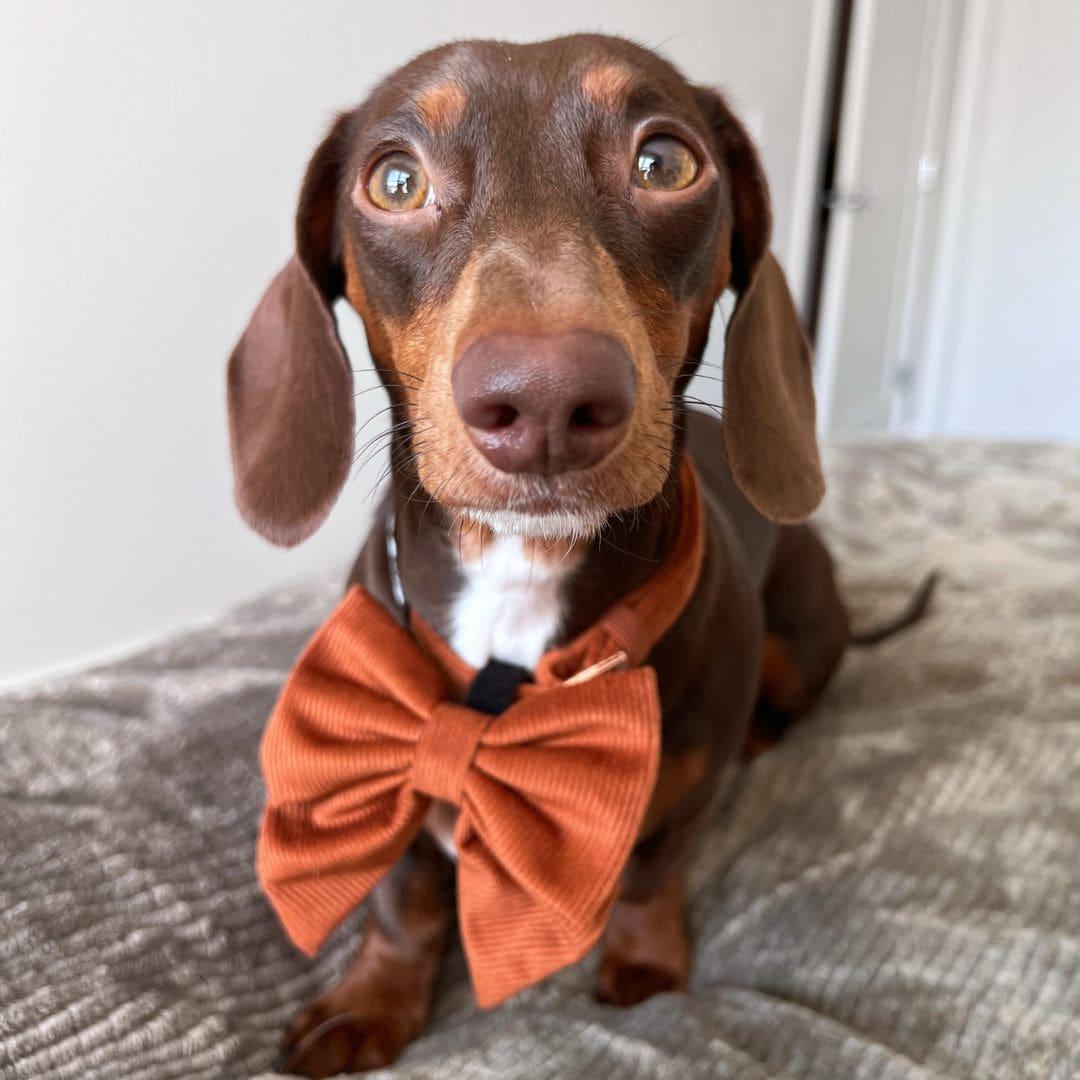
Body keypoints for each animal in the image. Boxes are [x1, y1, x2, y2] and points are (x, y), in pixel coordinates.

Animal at [225, 33, 928, 1080]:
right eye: (394, 179)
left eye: (665, 162)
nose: (547, 401)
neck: (522, 572)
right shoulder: (379, 759)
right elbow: (403, 901)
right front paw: (370, 1001)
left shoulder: (680, 798)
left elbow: (651, 872)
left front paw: (644, 966)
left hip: (801, 642)